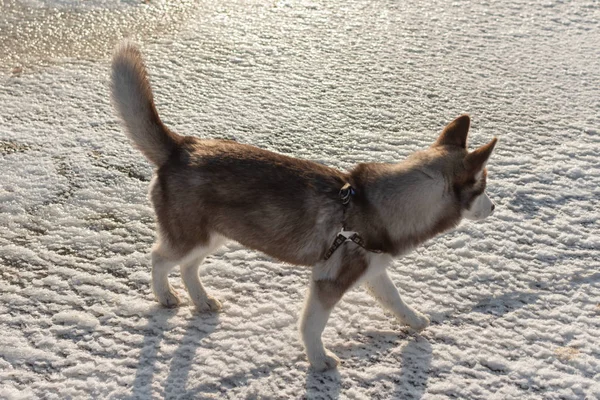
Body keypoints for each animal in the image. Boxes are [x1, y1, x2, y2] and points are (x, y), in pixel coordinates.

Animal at [111, 42, 496, 370]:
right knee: (160, 258)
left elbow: (395, 299)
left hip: (214, 235)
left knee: (189, 267)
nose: (494, 208)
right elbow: (312, 325)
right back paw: (165, 295)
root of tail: (182, 147)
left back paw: (201, 300)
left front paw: (414, 320)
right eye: (483, 187)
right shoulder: (328, 280)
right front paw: (319, 359)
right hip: (190, 236)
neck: (378, 204)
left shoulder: (371, 270)